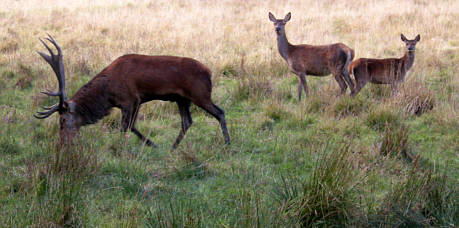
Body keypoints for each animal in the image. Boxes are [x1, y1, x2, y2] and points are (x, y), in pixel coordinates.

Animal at [34, 33, 232, 148]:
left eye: (62, 121)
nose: (62, 143)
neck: (107, 94)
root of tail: (208, 72)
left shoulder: (129, 99)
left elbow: (125, 126)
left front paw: (123, 148)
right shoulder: (137, 100)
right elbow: (132, 125)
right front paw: (151, 145)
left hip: (200, 93)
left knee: (220, 112)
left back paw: (228, 143)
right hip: (182, 99)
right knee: (187, 121)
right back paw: (173, 147)